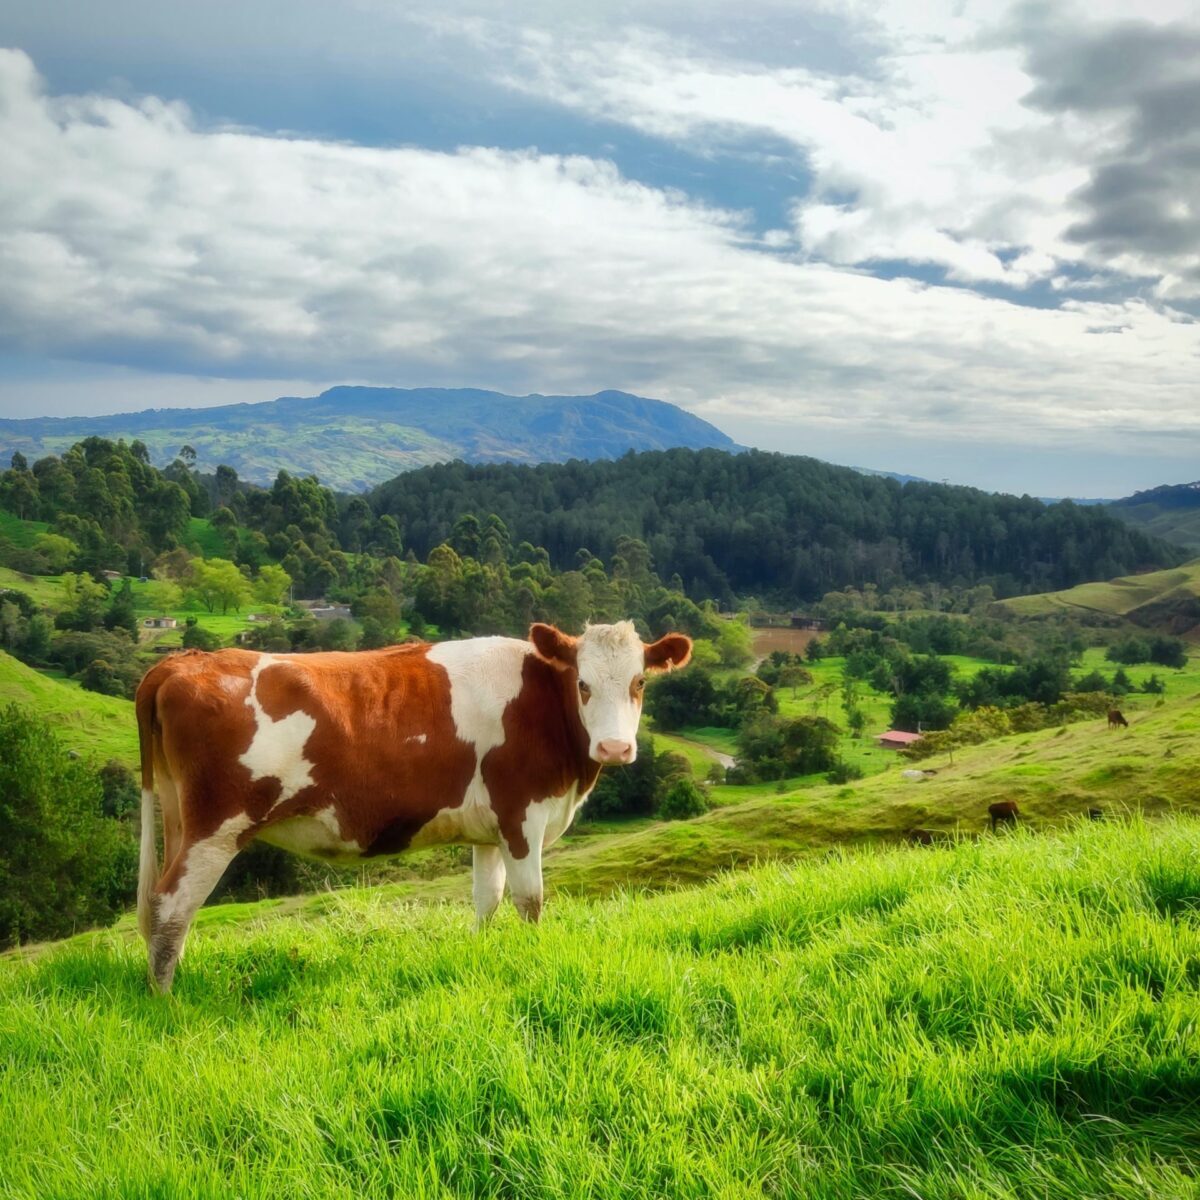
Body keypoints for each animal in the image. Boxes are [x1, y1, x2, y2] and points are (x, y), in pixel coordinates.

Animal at [135, 621, 692, 992]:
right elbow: (529, 902)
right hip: (216, 826)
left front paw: (481, 954)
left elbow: (487, 900)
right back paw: (167, 999)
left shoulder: (489, 830)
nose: (615, 748)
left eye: (640, 682)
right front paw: (534, 960)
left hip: (178, 817)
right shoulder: (522, 816)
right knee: (171, 906)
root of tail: (185, 660)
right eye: (583, 684)